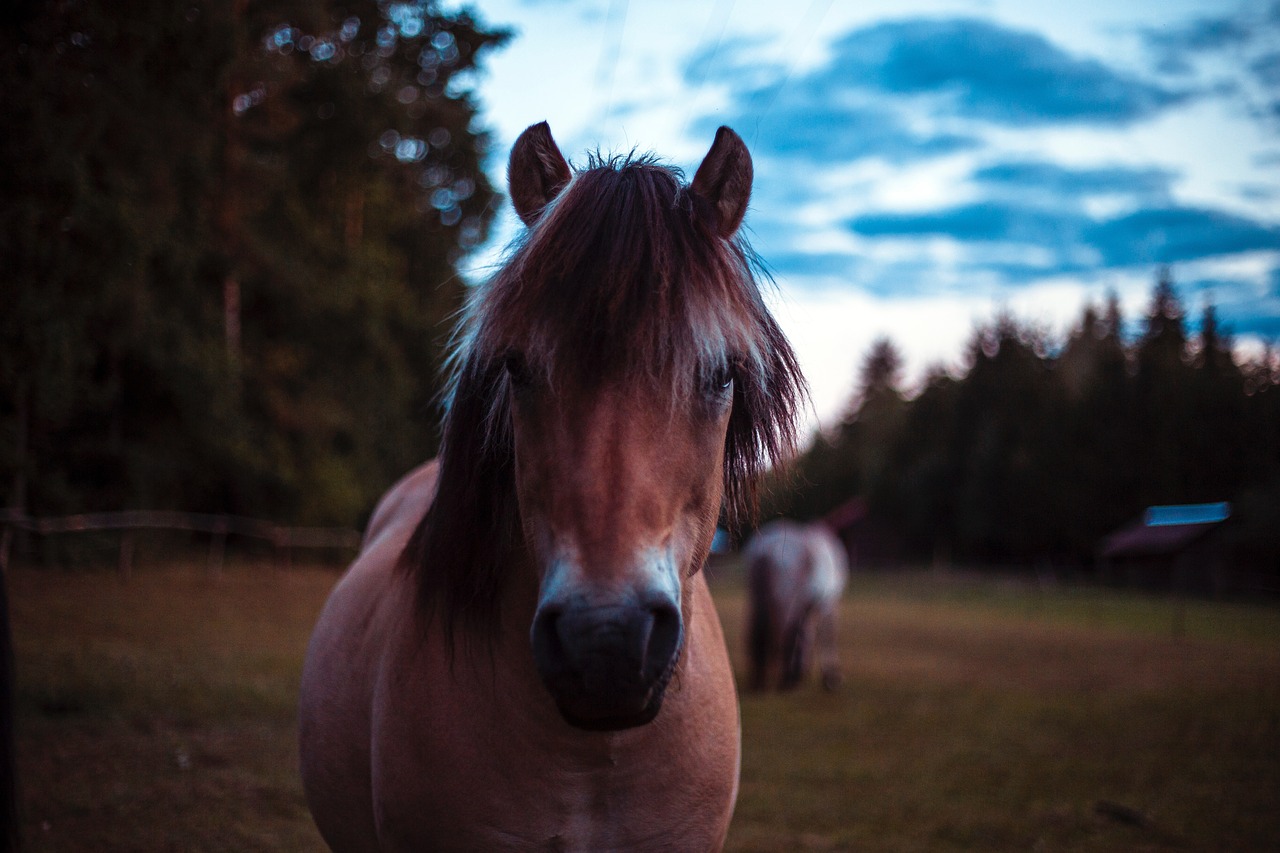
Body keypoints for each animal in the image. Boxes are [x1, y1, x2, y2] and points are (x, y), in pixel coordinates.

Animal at [747, 517, 844, 691]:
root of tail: (767, 550)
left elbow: (805, 634)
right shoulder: (828, 603)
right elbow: (828, 636)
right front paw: (831, 679)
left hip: (759, 599)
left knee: (760, 633)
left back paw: (760, 681)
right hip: (786, 601)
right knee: (786, 633)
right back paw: (785, 679)